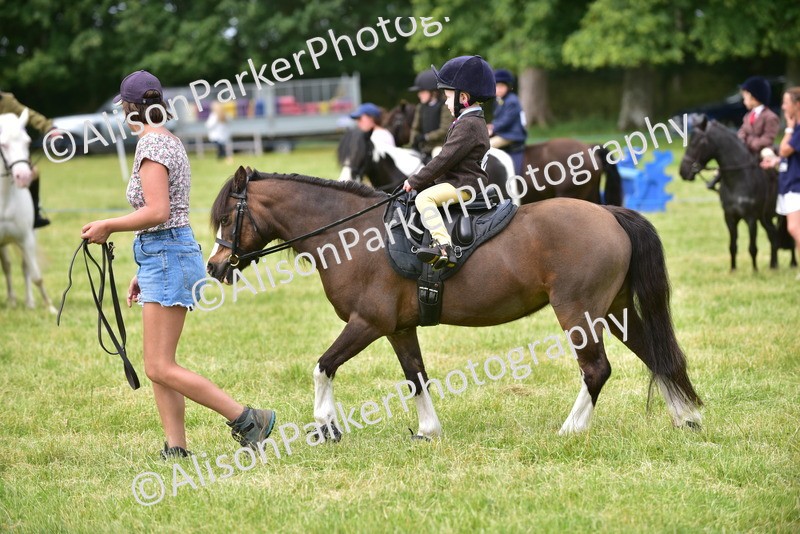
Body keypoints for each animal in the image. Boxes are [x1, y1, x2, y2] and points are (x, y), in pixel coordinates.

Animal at [0, 110, 56, 312]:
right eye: (3, 144)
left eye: (27, 142)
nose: (23, 176)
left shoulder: (26, 239)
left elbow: (36, 276)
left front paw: (50, 307)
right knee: (7, 267)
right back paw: (11, 300)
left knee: (24, 268)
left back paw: (29, 302)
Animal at [207, 166, 703, 441]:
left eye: (228, 216)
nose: (214, 266)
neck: (351, 235)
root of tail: (608, 213)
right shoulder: (398, 328)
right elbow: (416, 377)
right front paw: (429, 431)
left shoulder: (367, 322)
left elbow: (323, 366)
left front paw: (326, 425)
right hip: (615, 312)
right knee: (655, 355)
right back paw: (686, 418)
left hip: (578, 313)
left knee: (597, 368)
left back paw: (571, 429)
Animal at [678, 115, 786, 270]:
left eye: (697, 142)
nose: (683, 171)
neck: (739, 179)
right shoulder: (729, 217)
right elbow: (732, 246)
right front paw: (733, 270)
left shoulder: (751, 218)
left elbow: (752, 247)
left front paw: (755, 271)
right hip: (765, 217)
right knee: (773, 236)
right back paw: (773, 265)